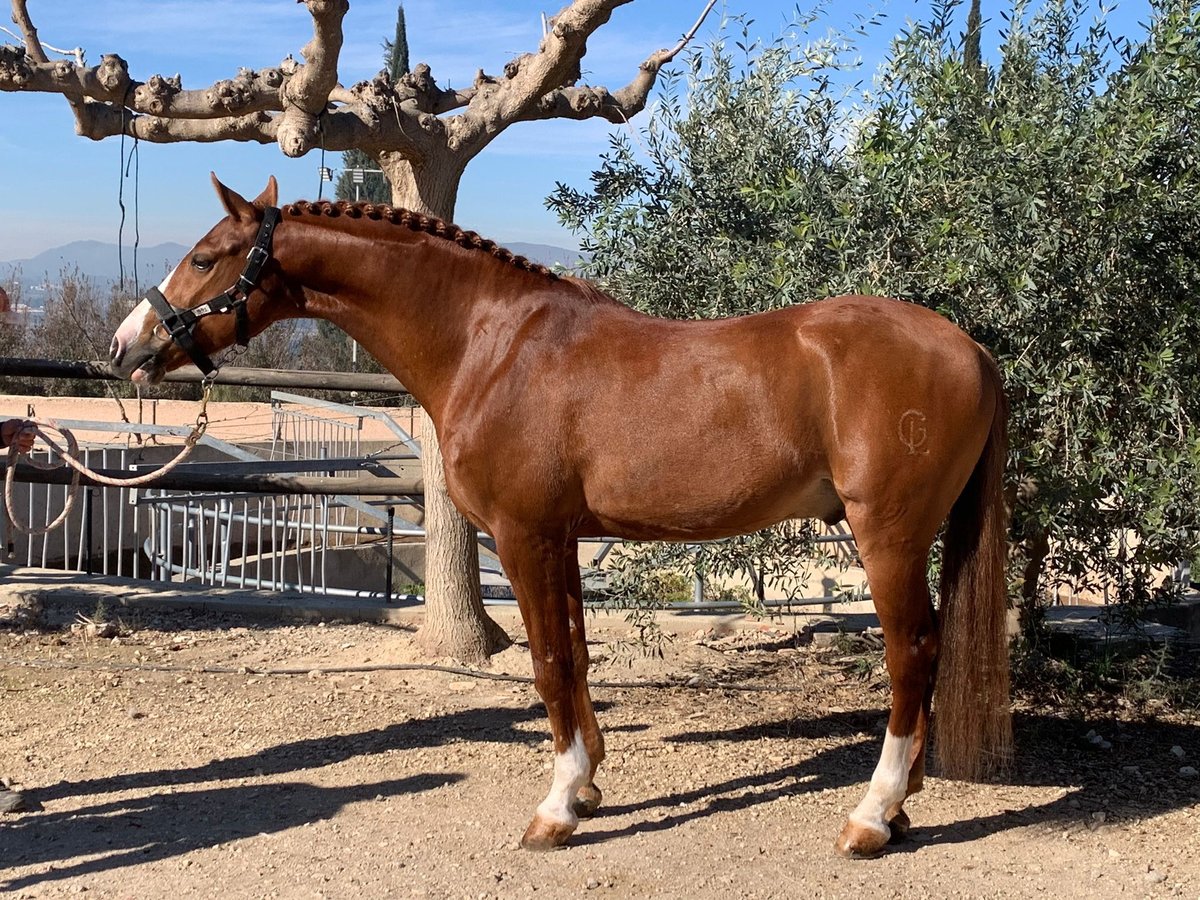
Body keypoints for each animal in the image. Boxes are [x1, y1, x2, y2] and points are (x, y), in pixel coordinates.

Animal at [109, 175, 1012, 858]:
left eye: (205, 257)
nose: (126, 348)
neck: (492, 342)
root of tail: (971, 348)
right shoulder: (561, 540)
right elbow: (574, 658)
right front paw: (586, 789)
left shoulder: (523, 536)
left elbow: (546, 664)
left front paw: (554, 810)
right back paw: (902, 801)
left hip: (888, 536)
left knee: (911, 653)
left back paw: (872, 816)